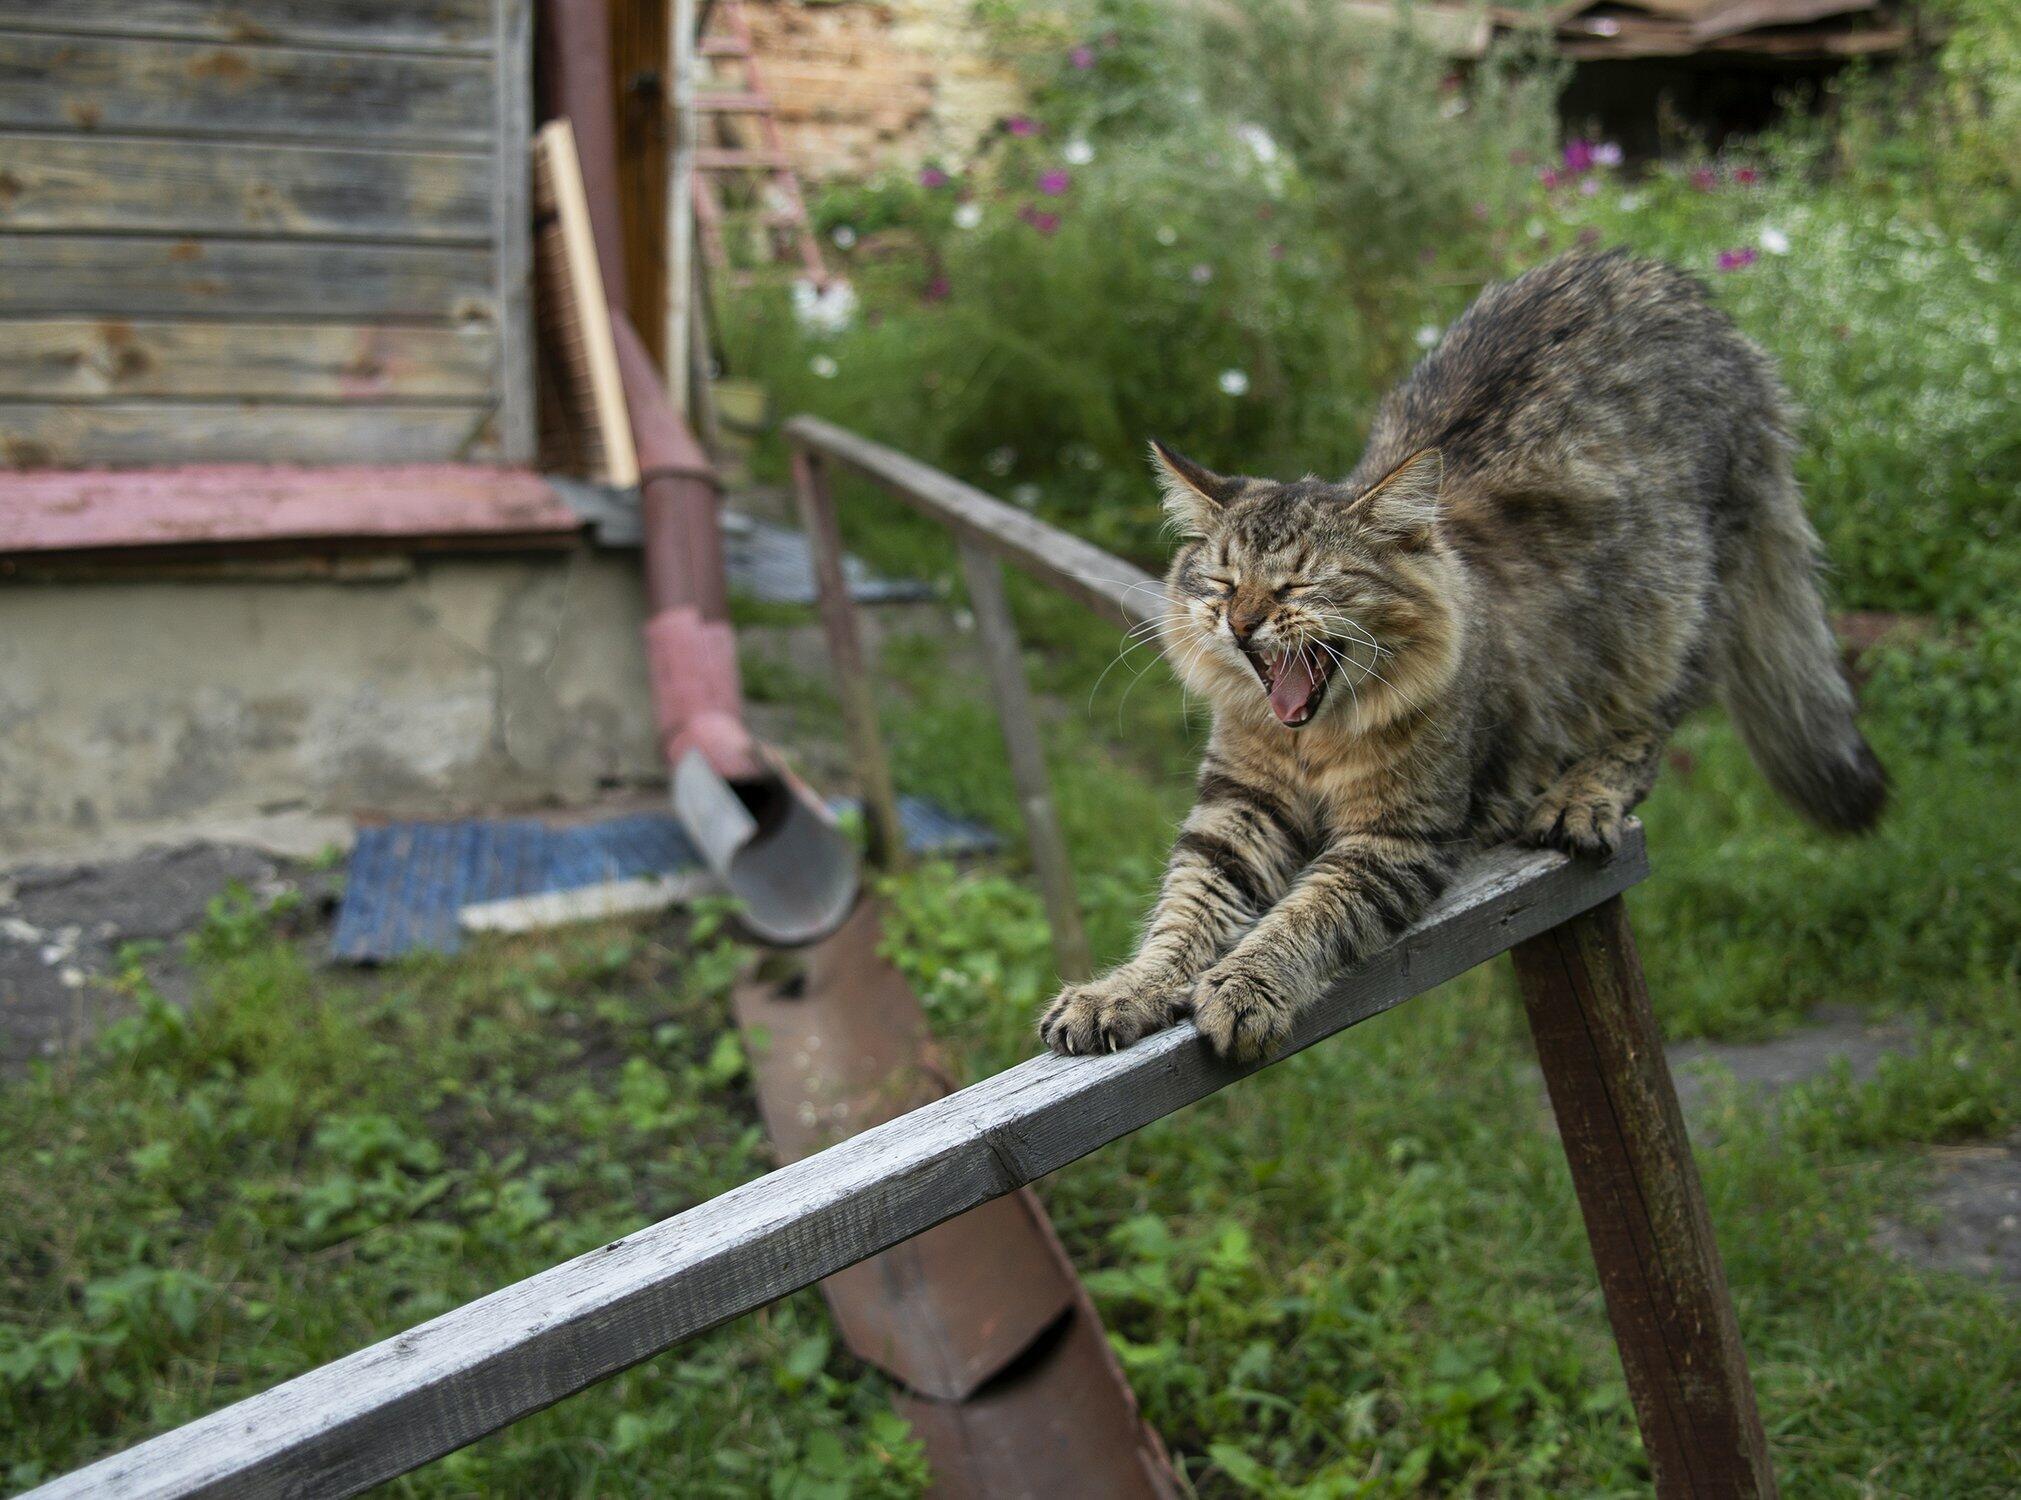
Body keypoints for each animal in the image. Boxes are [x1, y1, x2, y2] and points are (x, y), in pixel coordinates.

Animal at [1042, 252, 1875, 1067]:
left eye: (1296, 584)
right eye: (1218, 582)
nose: (1240, 623)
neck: (1312, 742)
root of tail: (1672, 283)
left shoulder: (1395, 838)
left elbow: (1303, 915)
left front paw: (1245, 987)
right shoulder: (1237, 808)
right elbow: (1182, 915)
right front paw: (1121, 991)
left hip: (1678, 612)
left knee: (1653, 726)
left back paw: (1582, 795)